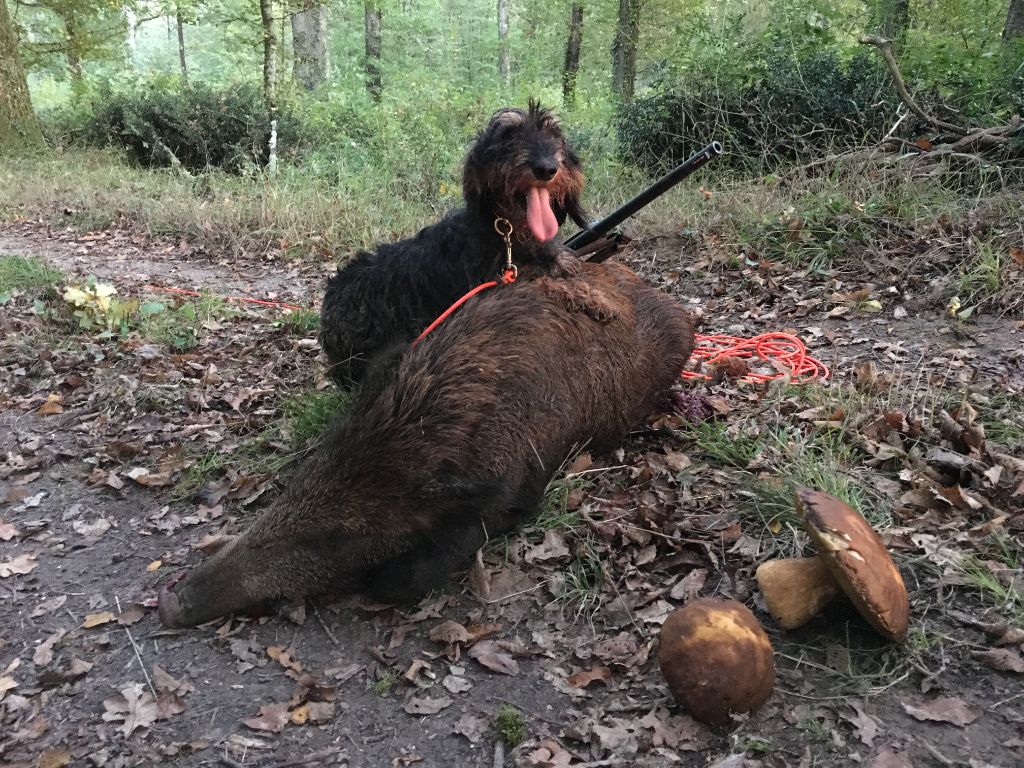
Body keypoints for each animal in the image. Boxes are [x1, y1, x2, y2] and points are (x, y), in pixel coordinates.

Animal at [155, 262, 692, 626]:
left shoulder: (517, 490)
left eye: (339, 538)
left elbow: (407, 578)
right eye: (298, 484)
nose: (168, 602)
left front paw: (378, 581)